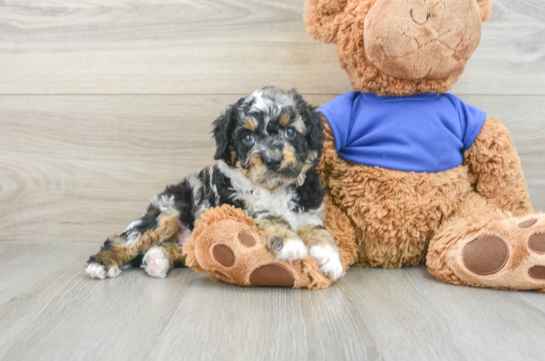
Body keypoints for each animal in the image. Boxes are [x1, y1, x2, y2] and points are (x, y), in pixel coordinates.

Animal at [86, 87, 342, 282]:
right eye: (247, 137)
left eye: (290, 131)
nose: (272, 160)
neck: (273, 189)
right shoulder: (239, 206)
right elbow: (270, 216)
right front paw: (291, 244)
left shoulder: (308, 212)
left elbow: (319, 230)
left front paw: (330, 257)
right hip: (167, 212)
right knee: (125, 239)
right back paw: (101, 264)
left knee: (184, 251)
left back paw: (157, 259)